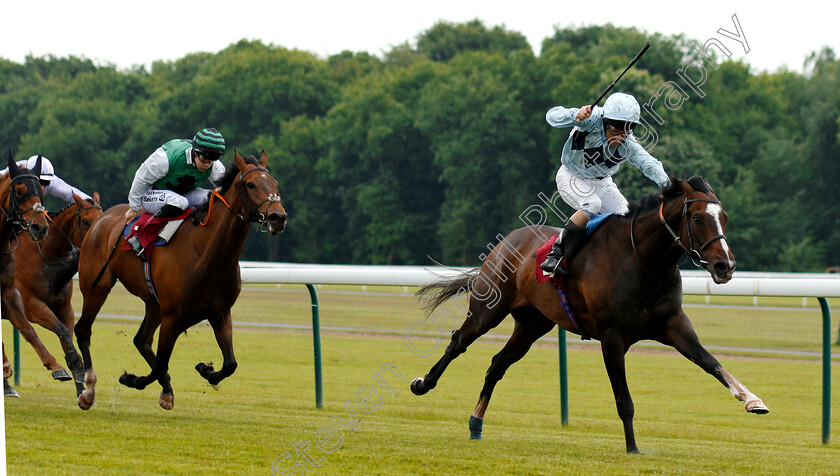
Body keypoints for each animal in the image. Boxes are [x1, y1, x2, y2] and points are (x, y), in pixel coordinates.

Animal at [13, 192, 103, 384]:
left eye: (103, 217)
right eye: (85, 221)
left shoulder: (64, 306)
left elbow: (66, 334)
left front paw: (78, 371)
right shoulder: (31, 306)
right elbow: (60, 329)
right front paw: (67, 364)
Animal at [76, 152, 286, 410]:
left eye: (275, 183)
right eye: (251, 184)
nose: (278, 217)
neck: (205, 254)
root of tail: (101, 218)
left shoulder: (220, 312)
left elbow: (230, 364)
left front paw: (206, 370)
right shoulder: (173, 317)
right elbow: (161, 365)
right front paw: (131, 379)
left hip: (153, 303)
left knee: (141, 340)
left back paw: (165, 388)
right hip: (97, 287)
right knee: (83, 330)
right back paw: (88, 391)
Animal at [410, 176, 772, 454]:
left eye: (724, 216)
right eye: (697, 219)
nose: (725, 265)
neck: (644, 260)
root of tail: (508, 241)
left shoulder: (674, 325)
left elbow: (711, 362)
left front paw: (752, 400)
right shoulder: (612, 337)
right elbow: (624, 399)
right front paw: (632, 448)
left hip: (532, 324)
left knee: (497, 364)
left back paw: (476, 424)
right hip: (489, 309)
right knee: (458, 342)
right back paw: (423, 384)